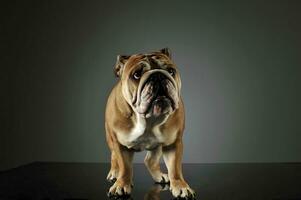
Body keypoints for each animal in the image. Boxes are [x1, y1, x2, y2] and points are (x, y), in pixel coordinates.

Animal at [105, 47, 195, 198]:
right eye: (136, 75)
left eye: (171, 71)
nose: (158, 75)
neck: (149, 119)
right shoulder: (120, 144)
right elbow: (124, 166)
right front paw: (122, 184)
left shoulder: (173, 144)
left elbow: (175, 168)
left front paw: (180, 186)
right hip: (110, 138)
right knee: (114, 156)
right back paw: (114, 172)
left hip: (157, 145)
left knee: (150, 160)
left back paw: (160, 176)